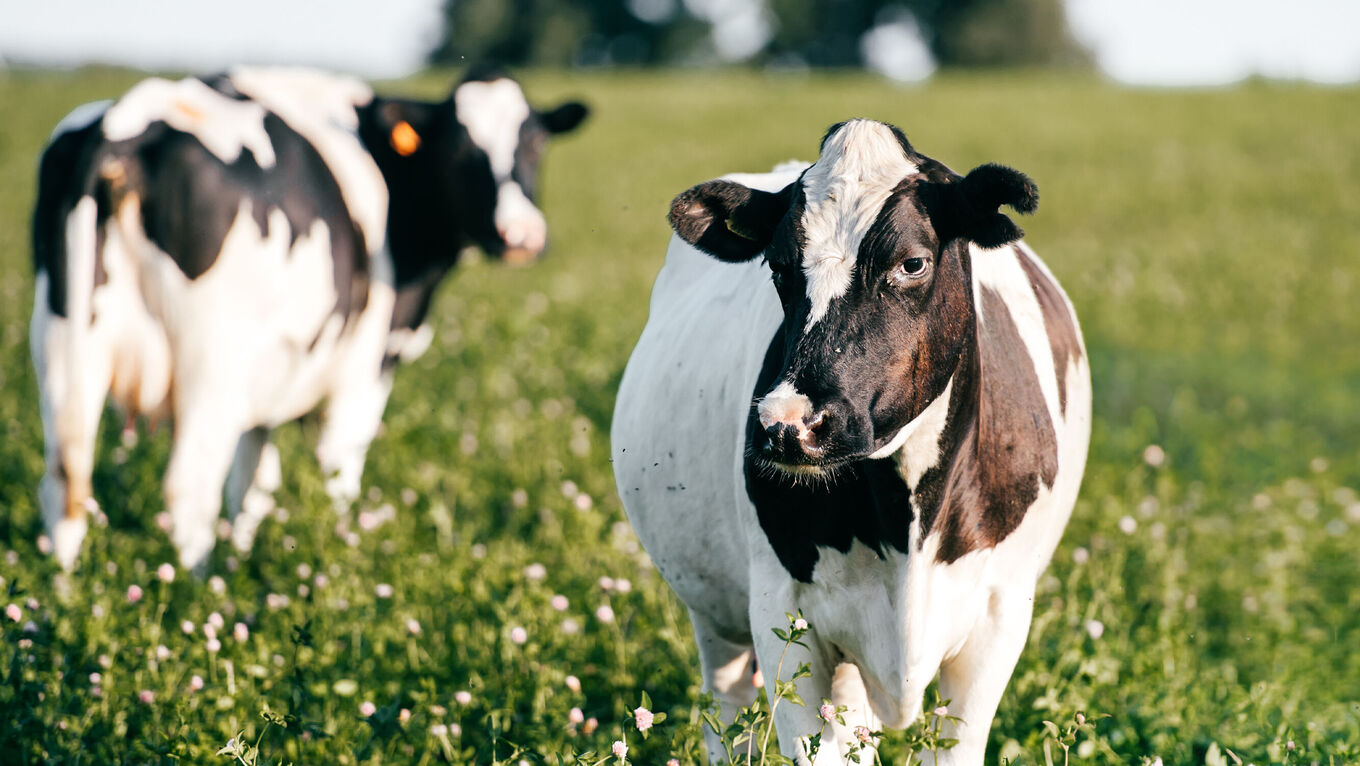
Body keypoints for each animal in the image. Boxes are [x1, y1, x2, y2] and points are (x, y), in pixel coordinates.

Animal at [29, 64, 587, 568]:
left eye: (535, 144)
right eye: (458, 150)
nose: (521, 235)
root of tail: (130, 119)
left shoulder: (269, 385)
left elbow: (253, 487)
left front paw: (243, 562)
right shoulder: (365, 369)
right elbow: (339, 475)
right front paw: (340, 562)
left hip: (65, 344)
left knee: (64, 484)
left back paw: (65, 600)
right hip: (210, 366)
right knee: (188, 490)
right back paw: (199, 591)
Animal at [612, 117, 1088, 761]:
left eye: (912, 263)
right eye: (778, 268)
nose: (787, 425)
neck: (907, 524)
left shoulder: (999, 614)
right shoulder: (782, 612)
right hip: (716, 617)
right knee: (728, 712)